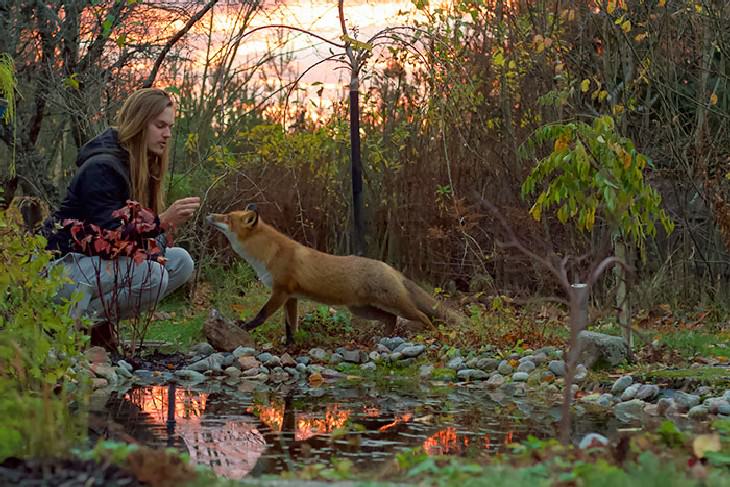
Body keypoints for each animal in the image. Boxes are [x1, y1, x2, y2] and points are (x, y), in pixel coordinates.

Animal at [205, 206, 458, 346]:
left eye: (227, 218)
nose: (209, 214)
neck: (268, 254)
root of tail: (388, 266)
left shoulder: (280, 291)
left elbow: (261, 315)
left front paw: (245, 327)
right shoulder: (291, 297)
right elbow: (290, 325)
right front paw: (290, 346)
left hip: (395, 304)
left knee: (422, 317)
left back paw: (435, 337)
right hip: (362, 309)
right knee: (390, 319)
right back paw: (383, 340)